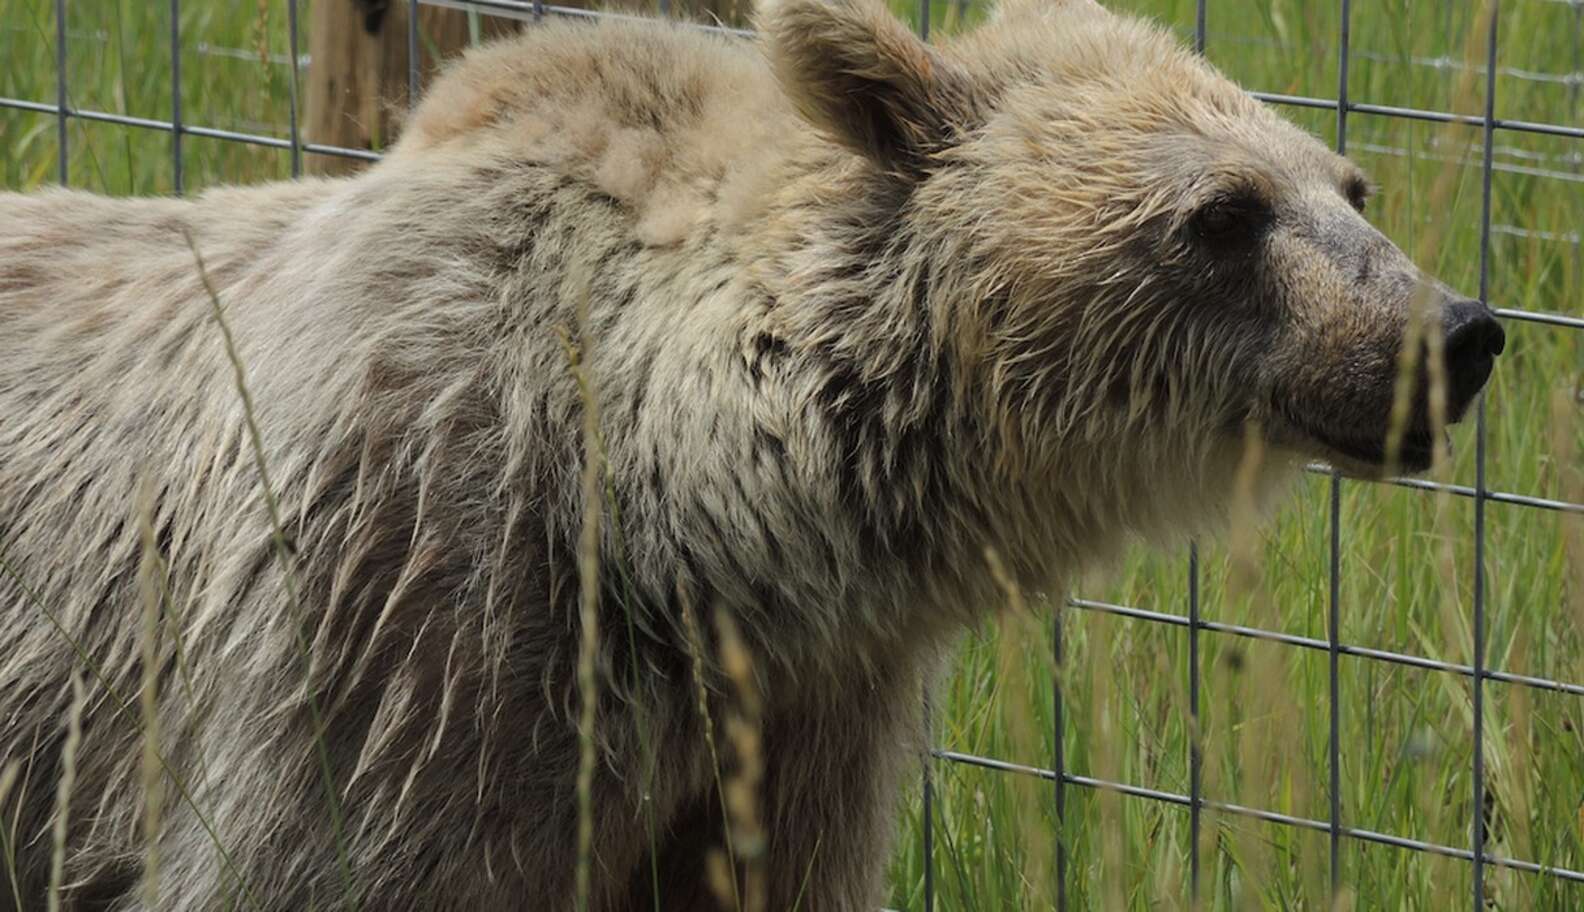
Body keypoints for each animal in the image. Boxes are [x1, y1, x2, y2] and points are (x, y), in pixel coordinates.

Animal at [0, 0, 1507, 905]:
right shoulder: (405, 634)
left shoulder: (799, 717)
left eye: (1349, 183)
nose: (1459, 331)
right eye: (1225, 214)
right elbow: (319, 861)